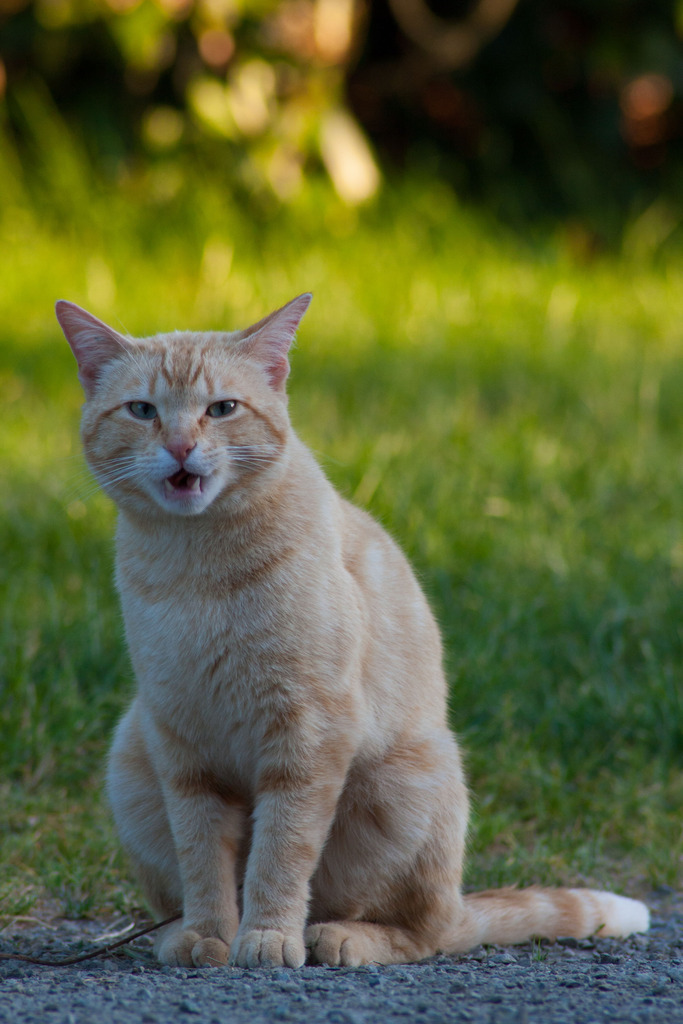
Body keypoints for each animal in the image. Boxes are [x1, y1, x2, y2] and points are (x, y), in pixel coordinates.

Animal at [56, 296, 651, 966]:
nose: (182, 445)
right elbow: (203, 859)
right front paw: (210, 934)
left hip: (405, 785)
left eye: (222, 409)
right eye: (143, 411)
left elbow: (280, 853)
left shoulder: (308, 734)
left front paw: (267, 937)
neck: (197, 566)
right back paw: (179, 932)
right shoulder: (182, 745)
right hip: (130, 756)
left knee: (423, 931)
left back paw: (339, 936)